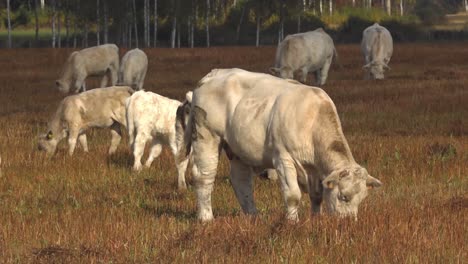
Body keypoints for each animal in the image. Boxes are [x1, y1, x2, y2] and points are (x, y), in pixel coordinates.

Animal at [181, 69, 382, 222]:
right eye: (344, 196)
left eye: (361, 199)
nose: (348, 222)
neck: (312, 121)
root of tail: (213, 74)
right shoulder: (283, 158)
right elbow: (292, 195)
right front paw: (292, 222)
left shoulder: (316, 171)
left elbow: (317, 196)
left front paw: (316, 219)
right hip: (206, 137)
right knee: (204, 176)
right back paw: (206, 218)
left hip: (238, 150)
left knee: (241, 182)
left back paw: (253, 216)